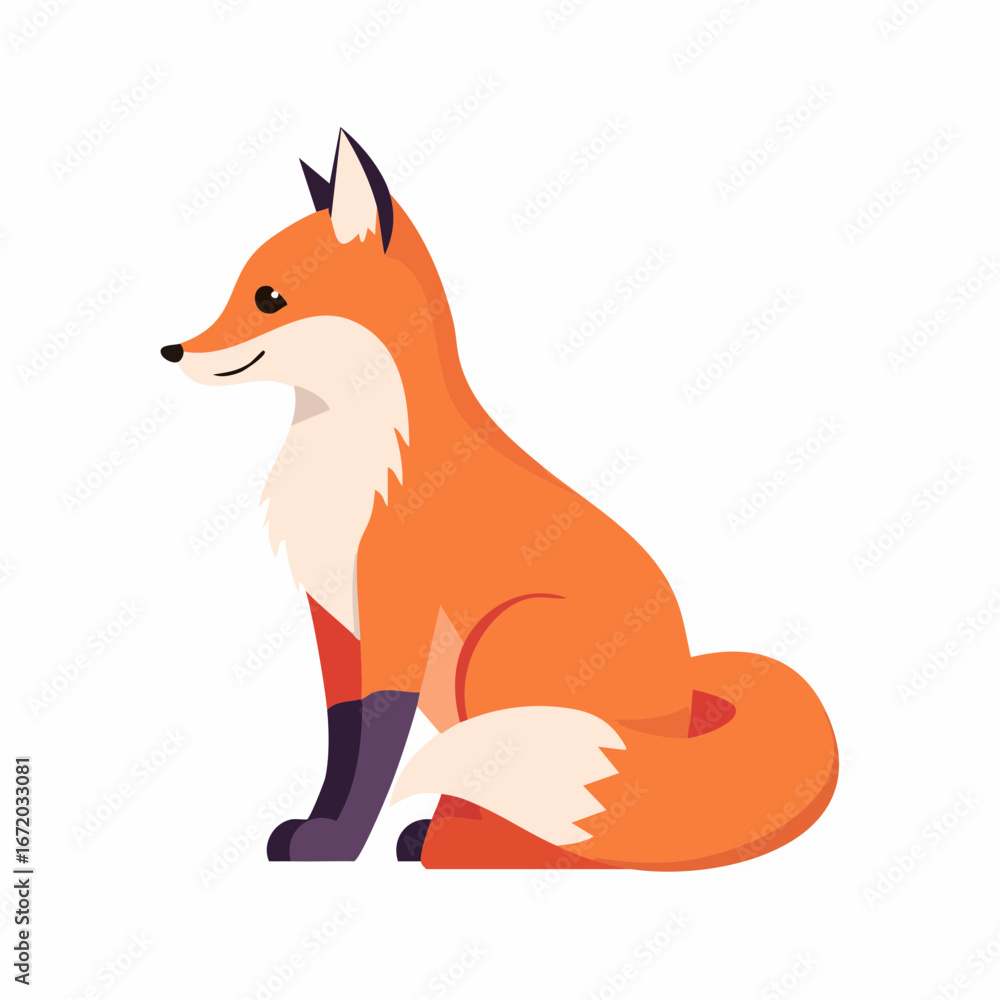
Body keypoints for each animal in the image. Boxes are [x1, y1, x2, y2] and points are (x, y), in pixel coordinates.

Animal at [163, 128, 837, 869]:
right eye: (239, 289)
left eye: (268, 297)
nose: (172, 351)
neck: (351, 465)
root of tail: (682, 709)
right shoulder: (336, 623)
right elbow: (344, 740)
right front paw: (321, 829)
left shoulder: (397, 612)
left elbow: (372, 748)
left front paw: (336, 843)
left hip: (502, 645)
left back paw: (457, 844)